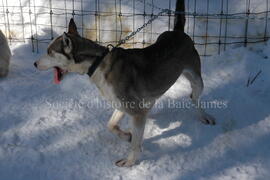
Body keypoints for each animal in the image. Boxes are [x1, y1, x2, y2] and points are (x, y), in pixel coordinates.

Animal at [34, 0, 215, 167]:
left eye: (49, 52)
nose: (35, 64)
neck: (98, 63)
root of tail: (178, 32)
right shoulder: (122, 106)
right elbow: (111, 125)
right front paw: (127, 136)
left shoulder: (136, 113)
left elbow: (135, 145)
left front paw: (129, 162)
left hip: (197, 80)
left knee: (193, 97)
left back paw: (205, 116)